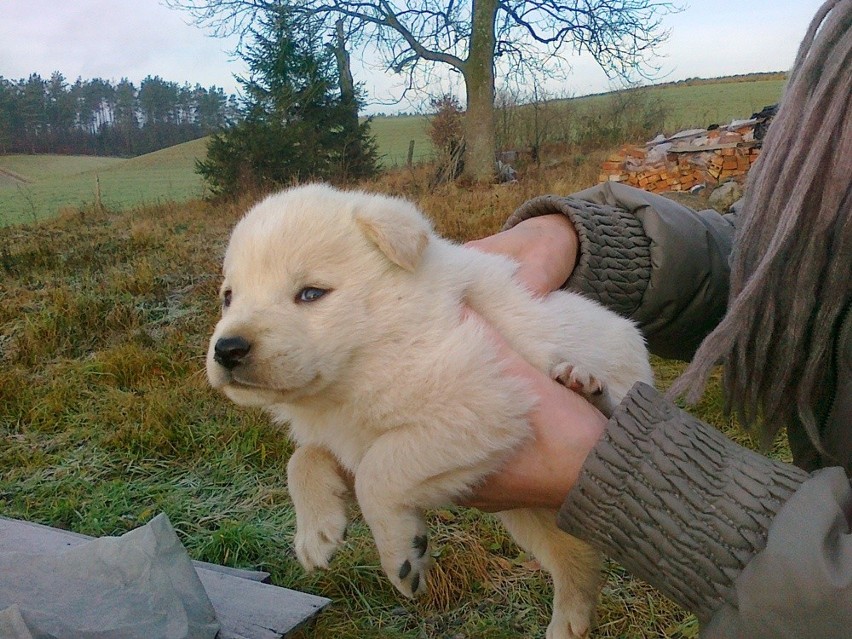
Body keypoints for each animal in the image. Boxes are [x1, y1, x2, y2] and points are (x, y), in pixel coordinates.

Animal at [206, 182, 652, 636]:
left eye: (311, 293)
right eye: (228, 297)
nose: (227, 349)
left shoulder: (478, 402)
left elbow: (377, 473)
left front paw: (401, 553)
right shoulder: (347, 438)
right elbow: (303, 460)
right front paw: (316, 532)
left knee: (618, 406)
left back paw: (582, 382)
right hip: (529, 513)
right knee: (575, 557)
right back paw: (568, 623)